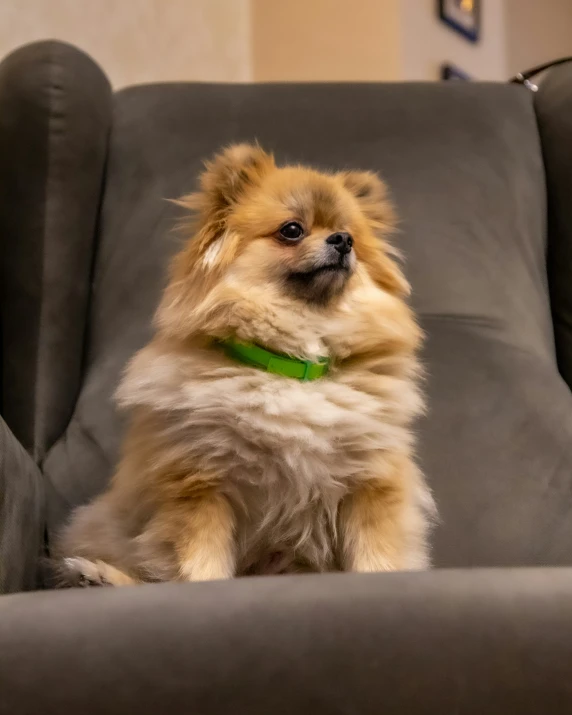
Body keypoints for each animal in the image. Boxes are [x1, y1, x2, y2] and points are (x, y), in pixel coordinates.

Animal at [57, 143, 434, 584]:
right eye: (292, 230)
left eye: (352, 236)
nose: (342, 241)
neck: (292, 365)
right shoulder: (200, 485)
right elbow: (201, 564)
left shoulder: (370, 487)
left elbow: (377, 560)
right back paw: (97, 575)